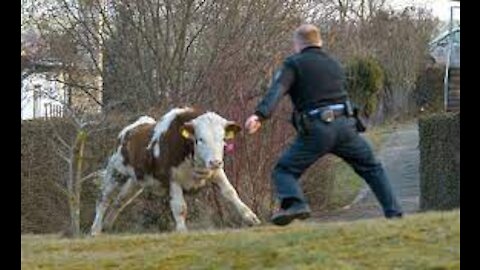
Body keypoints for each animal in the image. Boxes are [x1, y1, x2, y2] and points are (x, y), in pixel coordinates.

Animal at [91, 106, 260, 235]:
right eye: (200, 139)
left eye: (223, 139)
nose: (215, 162)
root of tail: (128, 131)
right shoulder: (173, 179)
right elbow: (180, 207)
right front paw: (181, 230)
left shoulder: (217, 173)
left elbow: (231, 193)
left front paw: (250, 217)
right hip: (116, 173)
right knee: (104, 199)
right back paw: (96, 229)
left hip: (135, 182)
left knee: (120, 201)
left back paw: (107, 225)